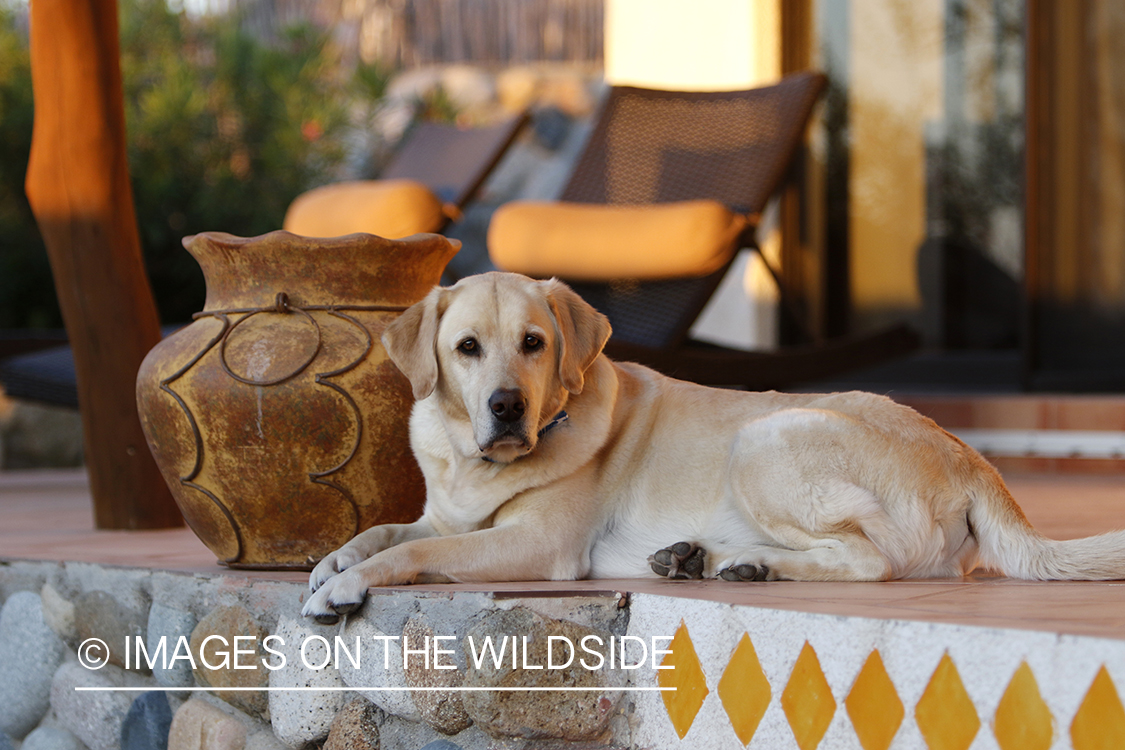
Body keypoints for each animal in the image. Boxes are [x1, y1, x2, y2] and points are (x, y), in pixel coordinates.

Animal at [301, 269, 1125, 620]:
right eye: (466, 348)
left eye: (533, 343)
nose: (506, 408)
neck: (477, 467)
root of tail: (966, 452)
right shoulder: (442, 513)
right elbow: (387, 529)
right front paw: (333, 559)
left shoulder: (535, 545)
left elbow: (416, 550)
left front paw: (349, 584)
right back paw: (705, 560)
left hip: (762, 440)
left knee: (871, 561)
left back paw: (750, 565)